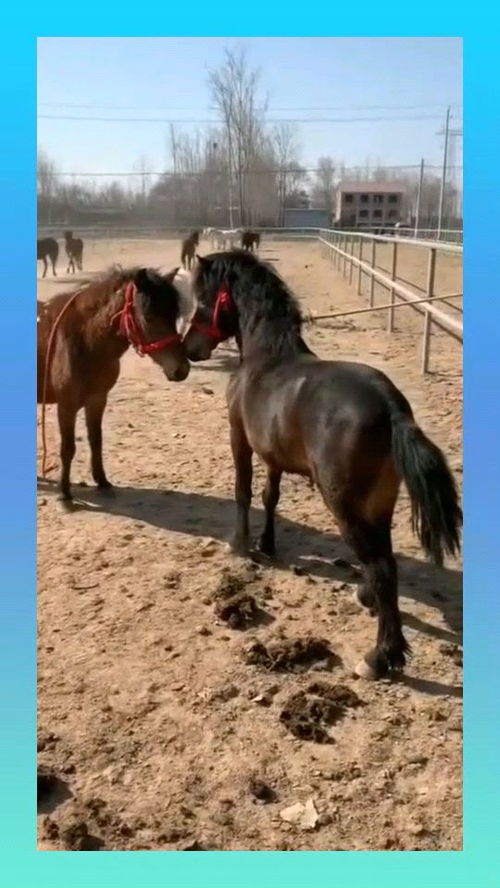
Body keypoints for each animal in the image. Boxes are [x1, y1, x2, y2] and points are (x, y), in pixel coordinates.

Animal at [37, 265, 190, 504]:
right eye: (149, 317)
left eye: (174, 315)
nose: (181, 369)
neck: (86, 340)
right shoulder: (66, 405)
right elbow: (68, 447)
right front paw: (65, 493)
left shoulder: (97, 399)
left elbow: (96, 439)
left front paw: (102, 482)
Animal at [183, 251, 462, 681]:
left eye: (203, 297)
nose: (188, 348)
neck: (268, 357)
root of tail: (391, 407)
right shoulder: (274, 455)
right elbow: (271, 496)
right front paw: (267, 544)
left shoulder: (239, 438)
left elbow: (243, 491)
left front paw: (240, 545)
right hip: (378, 505)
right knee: (384, 559)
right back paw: (366, 597)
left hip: (344, 505)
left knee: (381, 566)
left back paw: (380, 656)